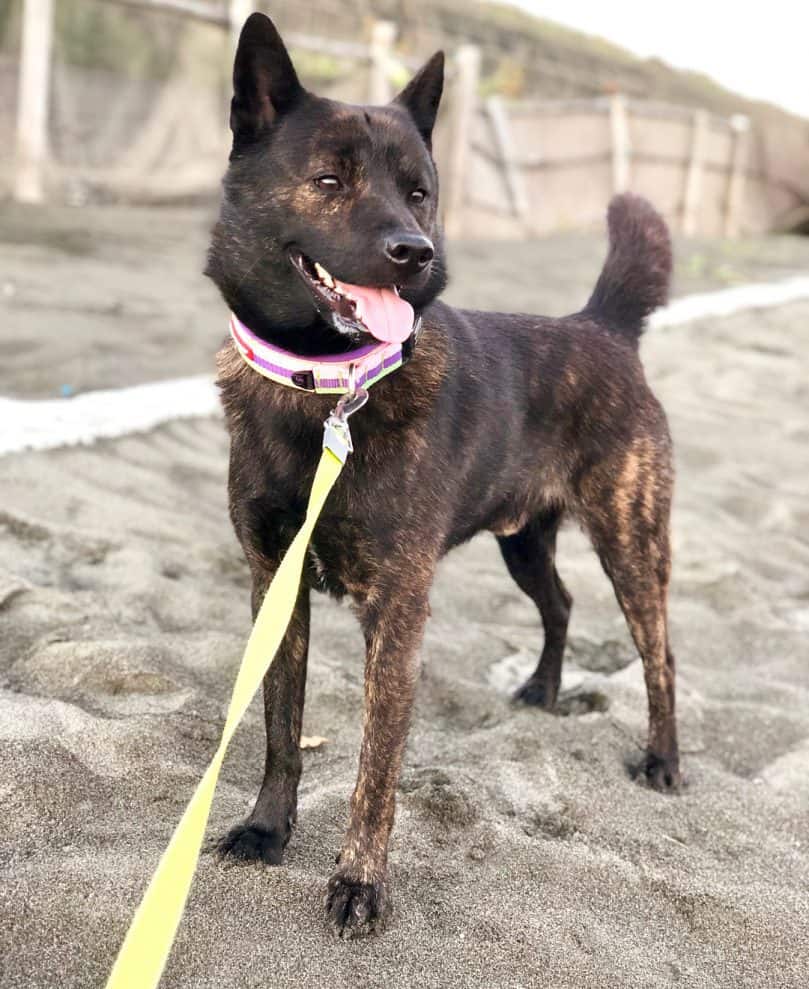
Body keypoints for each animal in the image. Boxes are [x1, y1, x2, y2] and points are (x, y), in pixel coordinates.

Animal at [210, 11, 680, 932]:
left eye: (419, 191)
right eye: (328, 179)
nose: (414, 251)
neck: (330, 390)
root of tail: (602, 326)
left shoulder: (396, 608)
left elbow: (376, 765)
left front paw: (358, 882)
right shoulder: (273, 584)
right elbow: (282, 728)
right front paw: (266, 829)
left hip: (630, 543)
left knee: (660, 653)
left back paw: (662, 761)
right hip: (523, 541)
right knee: (560, 603)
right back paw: (541, 690)